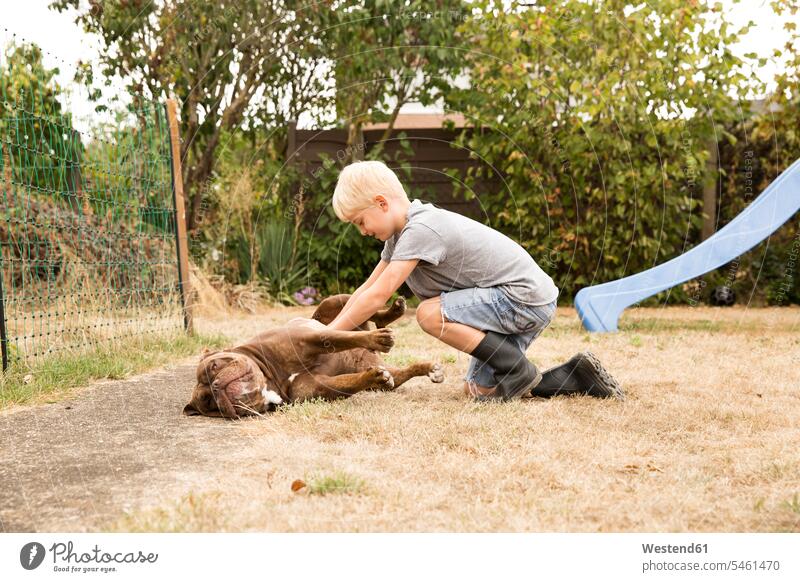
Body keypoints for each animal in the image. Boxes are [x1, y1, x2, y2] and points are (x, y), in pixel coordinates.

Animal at [183, 296, 444, 420]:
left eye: (214, 366)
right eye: (209, 403)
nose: (216, 386)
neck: (270, 381)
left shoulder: (309, 338)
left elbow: (339, 338)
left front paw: (376, 339)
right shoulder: (319, 387)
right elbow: (350, 382)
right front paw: (374, 378)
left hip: (333, 303)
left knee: (365, 309)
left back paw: (392, 313)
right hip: (386, 374)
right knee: (398, 374)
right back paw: (429, 369)